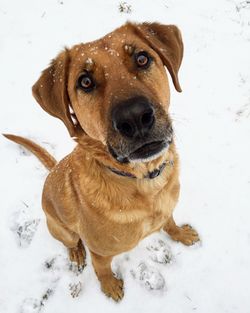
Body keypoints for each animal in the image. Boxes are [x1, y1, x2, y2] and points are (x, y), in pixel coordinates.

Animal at [3, 21, 199, 300]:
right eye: (85, 82)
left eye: (142, 58)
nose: (135, 117)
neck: (143, 182)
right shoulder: (100, 252)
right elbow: (102, 270)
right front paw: (110, 286)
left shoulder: (166, 209)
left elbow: (169, 223)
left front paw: (180, 234)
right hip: (60, 229)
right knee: (71, 241)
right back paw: (75, 252)